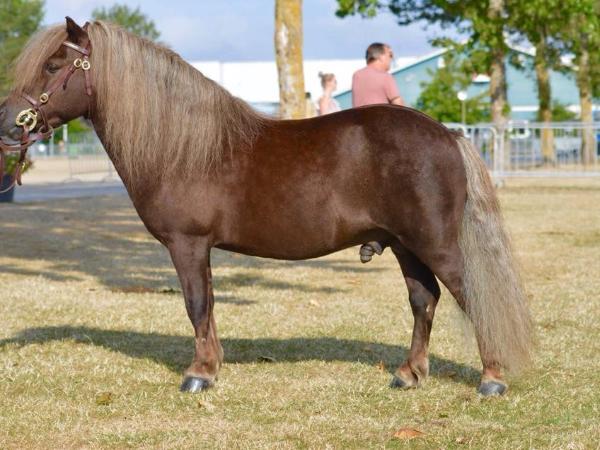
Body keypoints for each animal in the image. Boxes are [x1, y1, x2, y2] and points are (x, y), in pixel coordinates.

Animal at [0, 18, 532, 396]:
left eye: (52, 67)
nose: (8, 125)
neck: (182, 146)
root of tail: (447, 133)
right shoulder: (199, 248)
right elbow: (207, 305)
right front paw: (211, 365)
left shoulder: (187, 244)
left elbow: (196, 304)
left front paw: (199, 374)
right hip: (405, 244)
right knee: (424, 300)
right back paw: (408, 373)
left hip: (434, 243)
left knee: (470, 295)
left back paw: (491, 379)